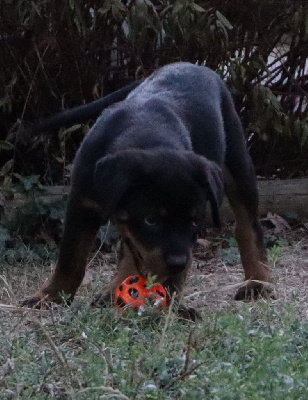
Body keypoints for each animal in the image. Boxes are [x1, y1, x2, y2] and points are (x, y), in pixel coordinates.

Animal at [22, 63, 272, 312]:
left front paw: (169, 307)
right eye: (151, 220)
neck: (147, 132)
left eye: (194, 221)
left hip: (238, 164)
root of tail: (194, 66)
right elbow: (71, 257)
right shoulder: (83, 204)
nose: (177, 264)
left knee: (248, 227)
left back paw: (258, 283)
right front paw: (49, 297)